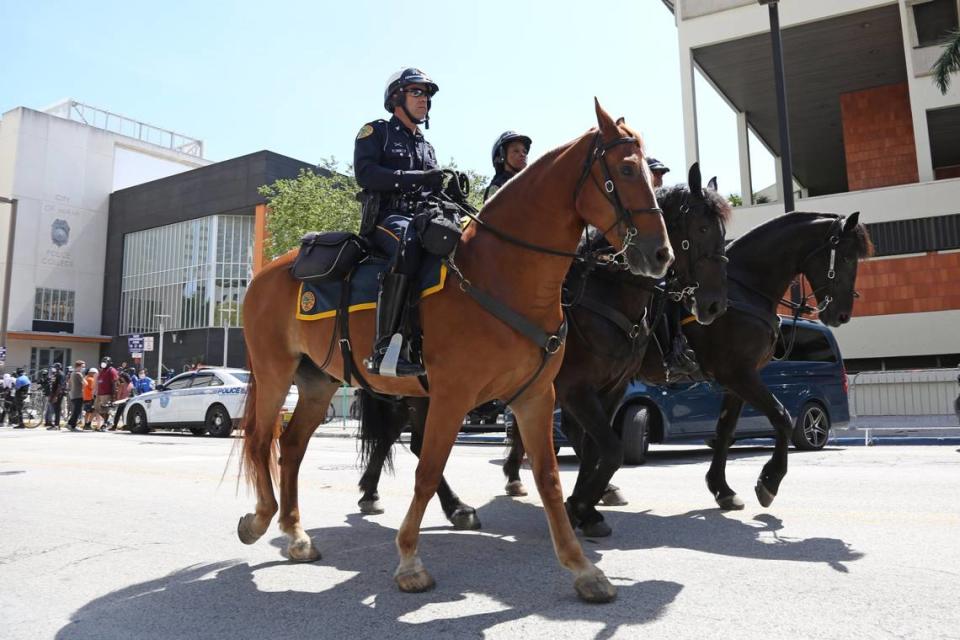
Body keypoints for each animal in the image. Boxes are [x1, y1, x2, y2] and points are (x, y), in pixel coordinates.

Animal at [234, 101, 668, 604]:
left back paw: (296, 534)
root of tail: (269, 270)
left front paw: (583, 567)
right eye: (625, 169)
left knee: (292, 446)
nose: (661, 254)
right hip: (274, 372)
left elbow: (549, 478)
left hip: (318, 382)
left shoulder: (537, 396)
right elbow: (427, 469)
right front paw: (409, 561)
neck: (504, 273)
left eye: (652, 175)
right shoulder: (454, 395)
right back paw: (260, 521)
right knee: (261, 440)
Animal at [356, 164, 732, 536]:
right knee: (404, 437)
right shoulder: (574, 388)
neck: (606, 291)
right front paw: (580, 506)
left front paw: (587, 505)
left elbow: (595, 447)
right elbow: (606, 447)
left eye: (722, 232)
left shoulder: (609, 387)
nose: (715, 305)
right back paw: (391, 496)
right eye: (701, 228)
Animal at [510, 210, 876, 520]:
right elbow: (782, 417)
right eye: (845, 257)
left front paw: (722, 489)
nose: (842, 313)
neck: (742, 289)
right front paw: (769, 482)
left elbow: (725, 431)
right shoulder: (739, 374)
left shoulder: (736, 381)